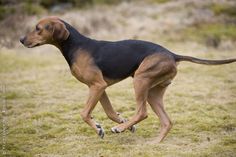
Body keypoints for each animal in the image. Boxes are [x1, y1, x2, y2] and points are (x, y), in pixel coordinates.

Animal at [19, 16, 236, 143]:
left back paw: (120, 129)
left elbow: (84, 113)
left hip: (140, 80)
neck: (75, 46)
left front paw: (104, 128)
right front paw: (122, 123)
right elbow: (109, 112)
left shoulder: (97, 86)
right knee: (166, 121)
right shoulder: (99, 88)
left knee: (142, 112)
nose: (21, 39)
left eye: (38, 28)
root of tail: (172, 54)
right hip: (153, 92)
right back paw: (153, 143)